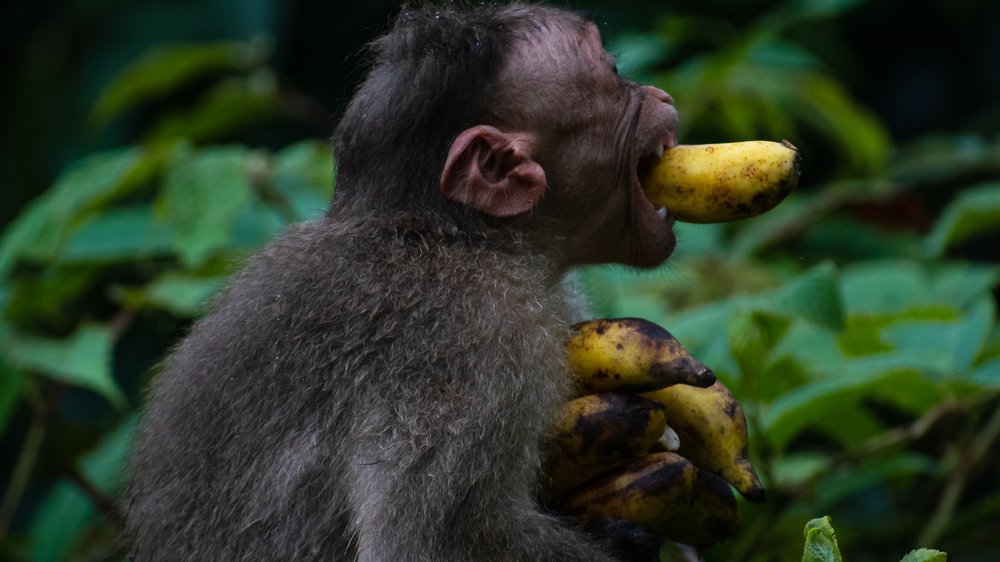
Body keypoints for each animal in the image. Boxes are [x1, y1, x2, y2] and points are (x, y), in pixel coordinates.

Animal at [121, 2, 676, 556]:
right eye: (615, 75)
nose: (664, 98)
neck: (458, 239)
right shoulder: (474, 341)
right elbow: (429, 541)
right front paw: (625, 540)